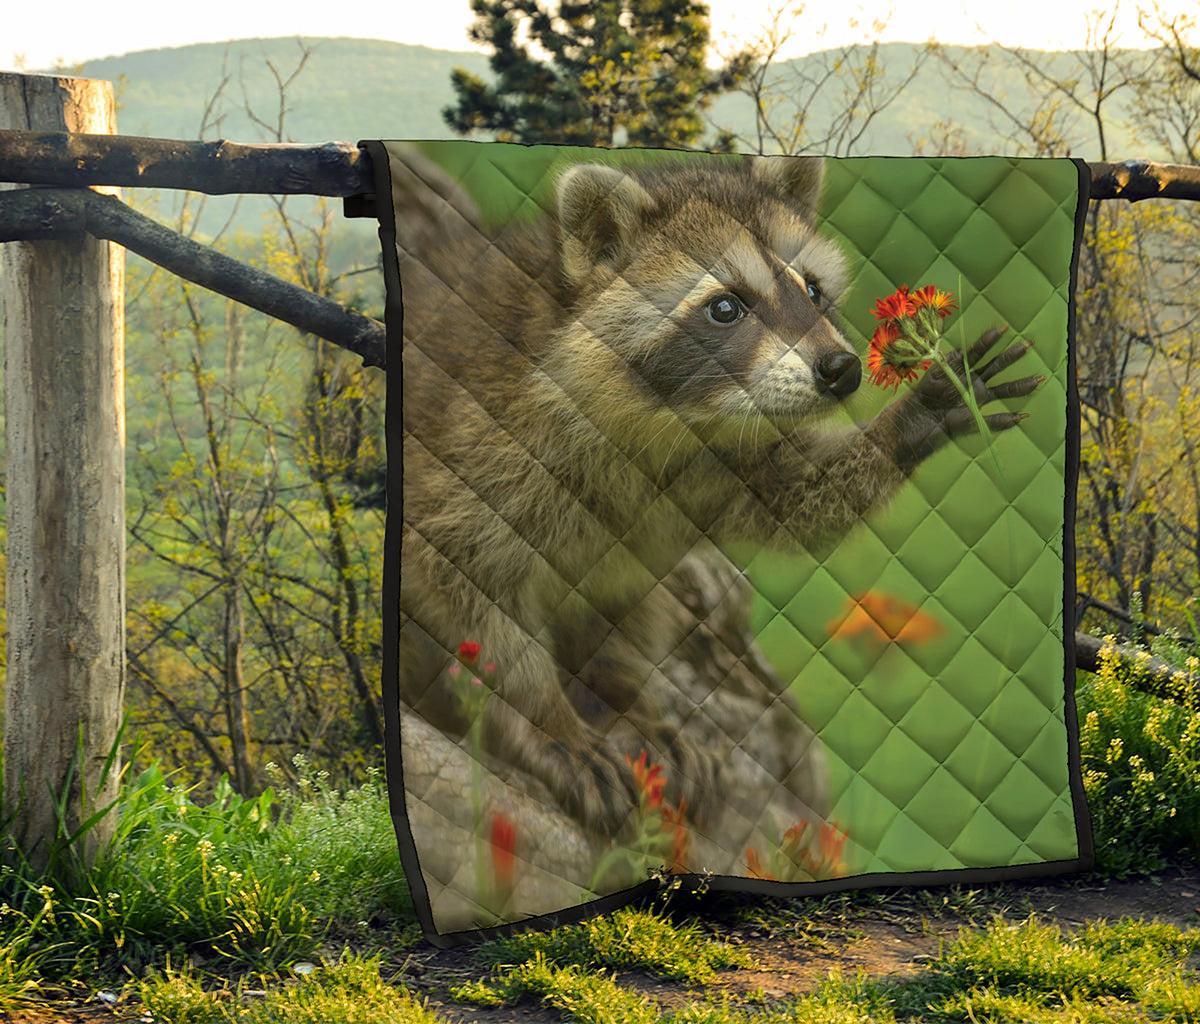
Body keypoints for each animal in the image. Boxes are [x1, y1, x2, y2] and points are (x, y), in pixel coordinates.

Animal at [396, 151, 1037, 835]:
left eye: (813, 289)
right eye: (726, 307)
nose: (842, 370)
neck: (671, 419)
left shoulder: (714, 465)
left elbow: (789, 499)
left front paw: (907, 423)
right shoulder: (475, 447)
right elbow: (467, 591)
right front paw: (545, 717)